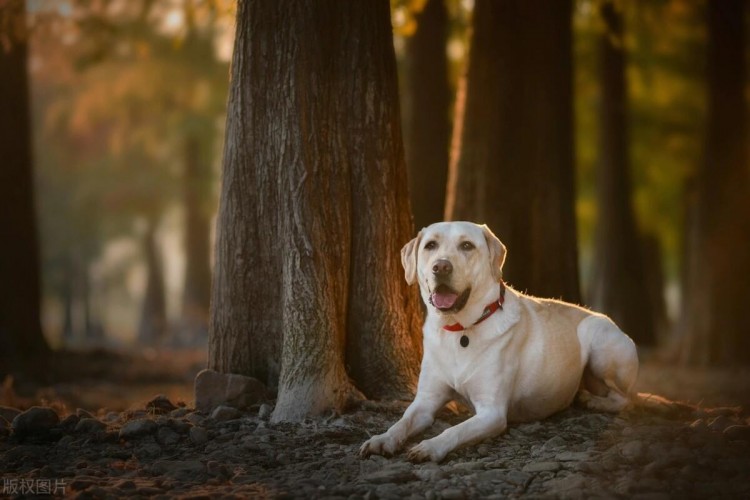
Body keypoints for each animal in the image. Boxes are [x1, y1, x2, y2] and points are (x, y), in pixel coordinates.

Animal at [360, 221, 640, 462]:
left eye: (466, 246)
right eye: (430, 245)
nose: (441, 267)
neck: (460, 329)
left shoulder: (492, 412)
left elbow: (455, 430)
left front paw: (429, 446)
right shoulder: (426, 401)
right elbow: (403, 421)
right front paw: (382, 439)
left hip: (599, 341)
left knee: (627, 398)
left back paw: (594, 401)